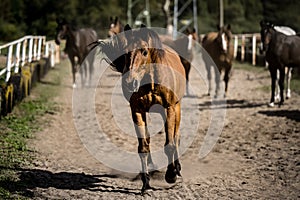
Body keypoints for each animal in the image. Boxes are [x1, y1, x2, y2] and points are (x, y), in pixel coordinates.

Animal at [96, 24, 185, 195]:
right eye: (126, 52)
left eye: (144, 51)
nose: (129, 82)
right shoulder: (137, 111)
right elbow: (143, 146)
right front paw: (146, 184)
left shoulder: (169, 108)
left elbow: (170, 144)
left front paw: (171, 175)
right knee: (150, 139)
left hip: (176, 108)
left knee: (176, 137)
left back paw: (177, 169)